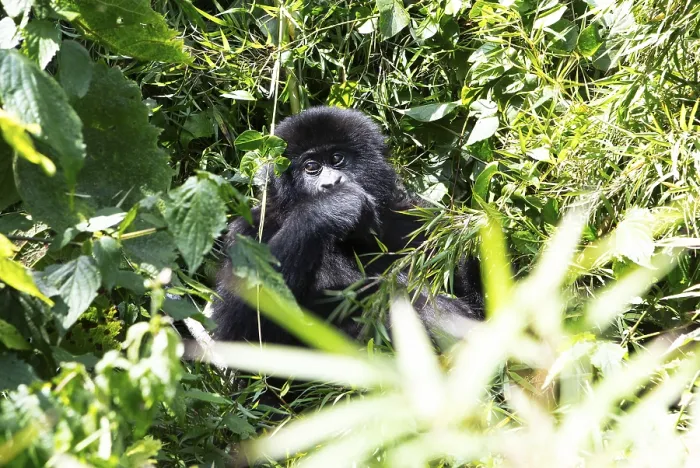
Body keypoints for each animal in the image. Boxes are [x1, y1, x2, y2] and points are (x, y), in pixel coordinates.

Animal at [210, 106, 484, 346]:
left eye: (337, 158)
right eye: (311, 167)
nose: (331, 184)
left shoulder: (417, 215)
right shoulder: (248, 231)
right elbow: (240, 334)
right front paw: (330, 206)